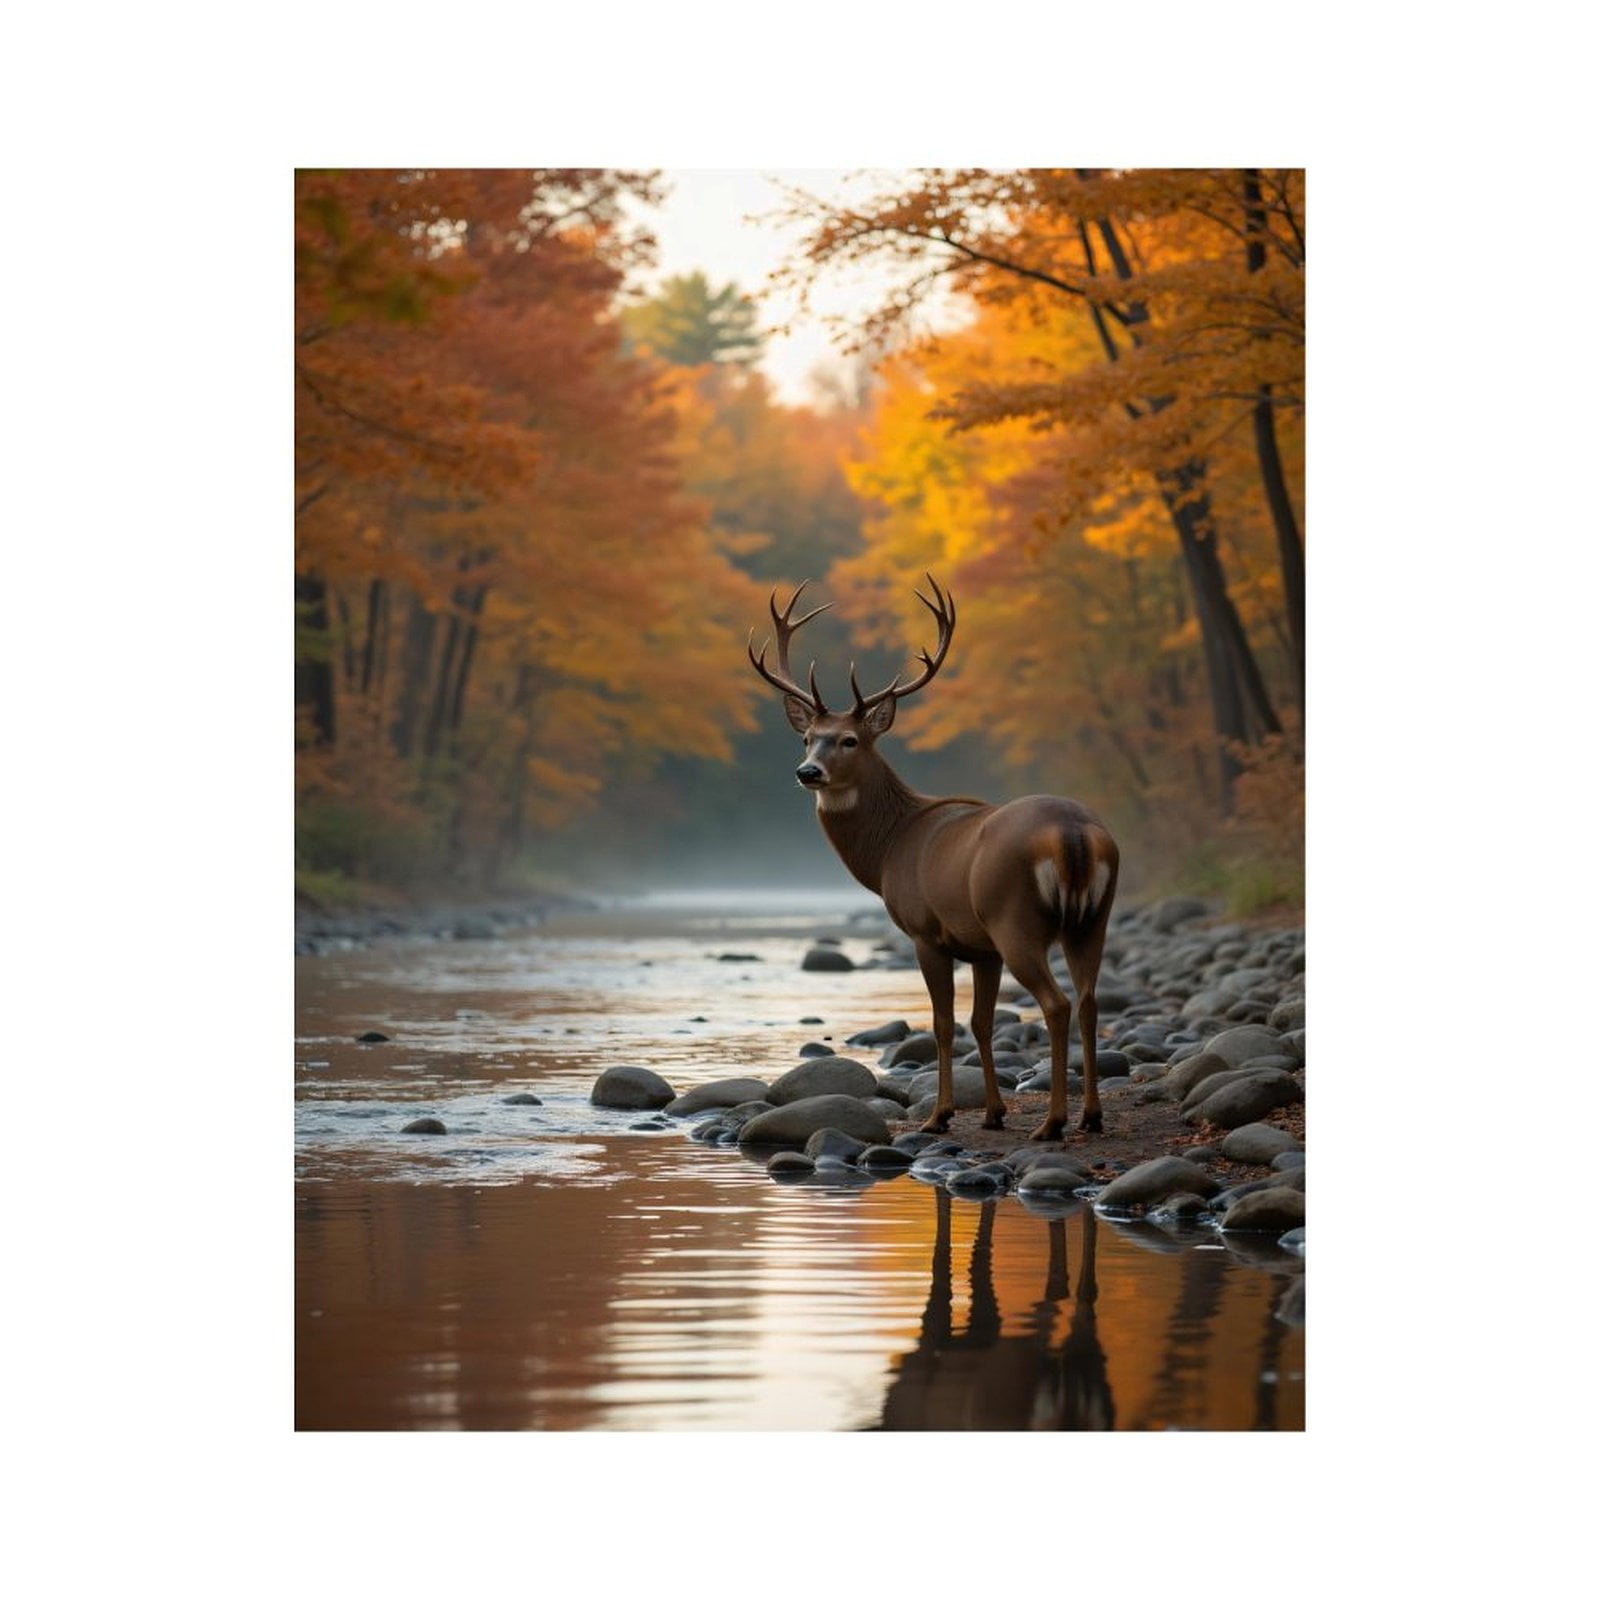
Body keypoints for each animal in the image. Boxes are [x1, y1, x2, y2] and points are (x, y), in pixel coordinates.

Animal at [748, 577, 1120, 1143]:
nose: (807, 771)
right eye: (808, 737)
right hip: (1091, 919)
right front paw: (992, 1113)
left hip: (1016, 919)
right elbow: (981, 1023)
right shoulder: (983, 948)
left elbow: (944, 1024)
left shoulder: (926, 931)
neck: (889, 849)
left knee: (1056, 1004)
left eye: (850, 740)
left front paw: (940, 1115)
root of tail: (1072, 834)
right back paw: (1091, 1116)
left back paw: (1053, 1122)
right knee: (1089, 1001)